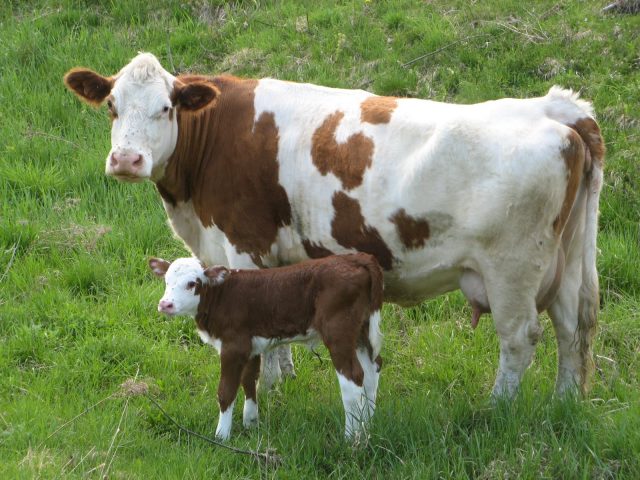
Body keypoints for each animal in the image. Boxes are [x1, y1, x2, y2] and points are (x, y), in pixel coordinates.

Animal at [62, 52, 604, 398]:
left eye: (165, 107)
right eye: (112, 107)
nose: (126, 160)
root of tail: (553, 107)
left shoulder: (244, 244)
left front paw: (269, 390)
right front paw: (284, 379)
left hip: (511, 266)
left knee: (519, 337)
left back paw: (497, 409)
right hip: (568, 260)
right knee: (573, 325)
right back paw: (564, 403)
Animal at [148, 253, 382, 440]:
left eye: (191, 283)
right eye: (166, 281)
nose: (165, 304)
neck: (221, 296)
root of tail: (357, 259)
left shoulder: (233, 347)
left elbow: (226, 391)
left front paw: (221, 436)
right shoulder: (251, 347)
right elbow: (249, 381)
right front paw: (251, 423)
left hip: (338, 332)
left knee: (353, 379)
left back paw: (351, 437)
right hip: (362, 331)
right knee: (372, 371)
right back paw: (368, 426)